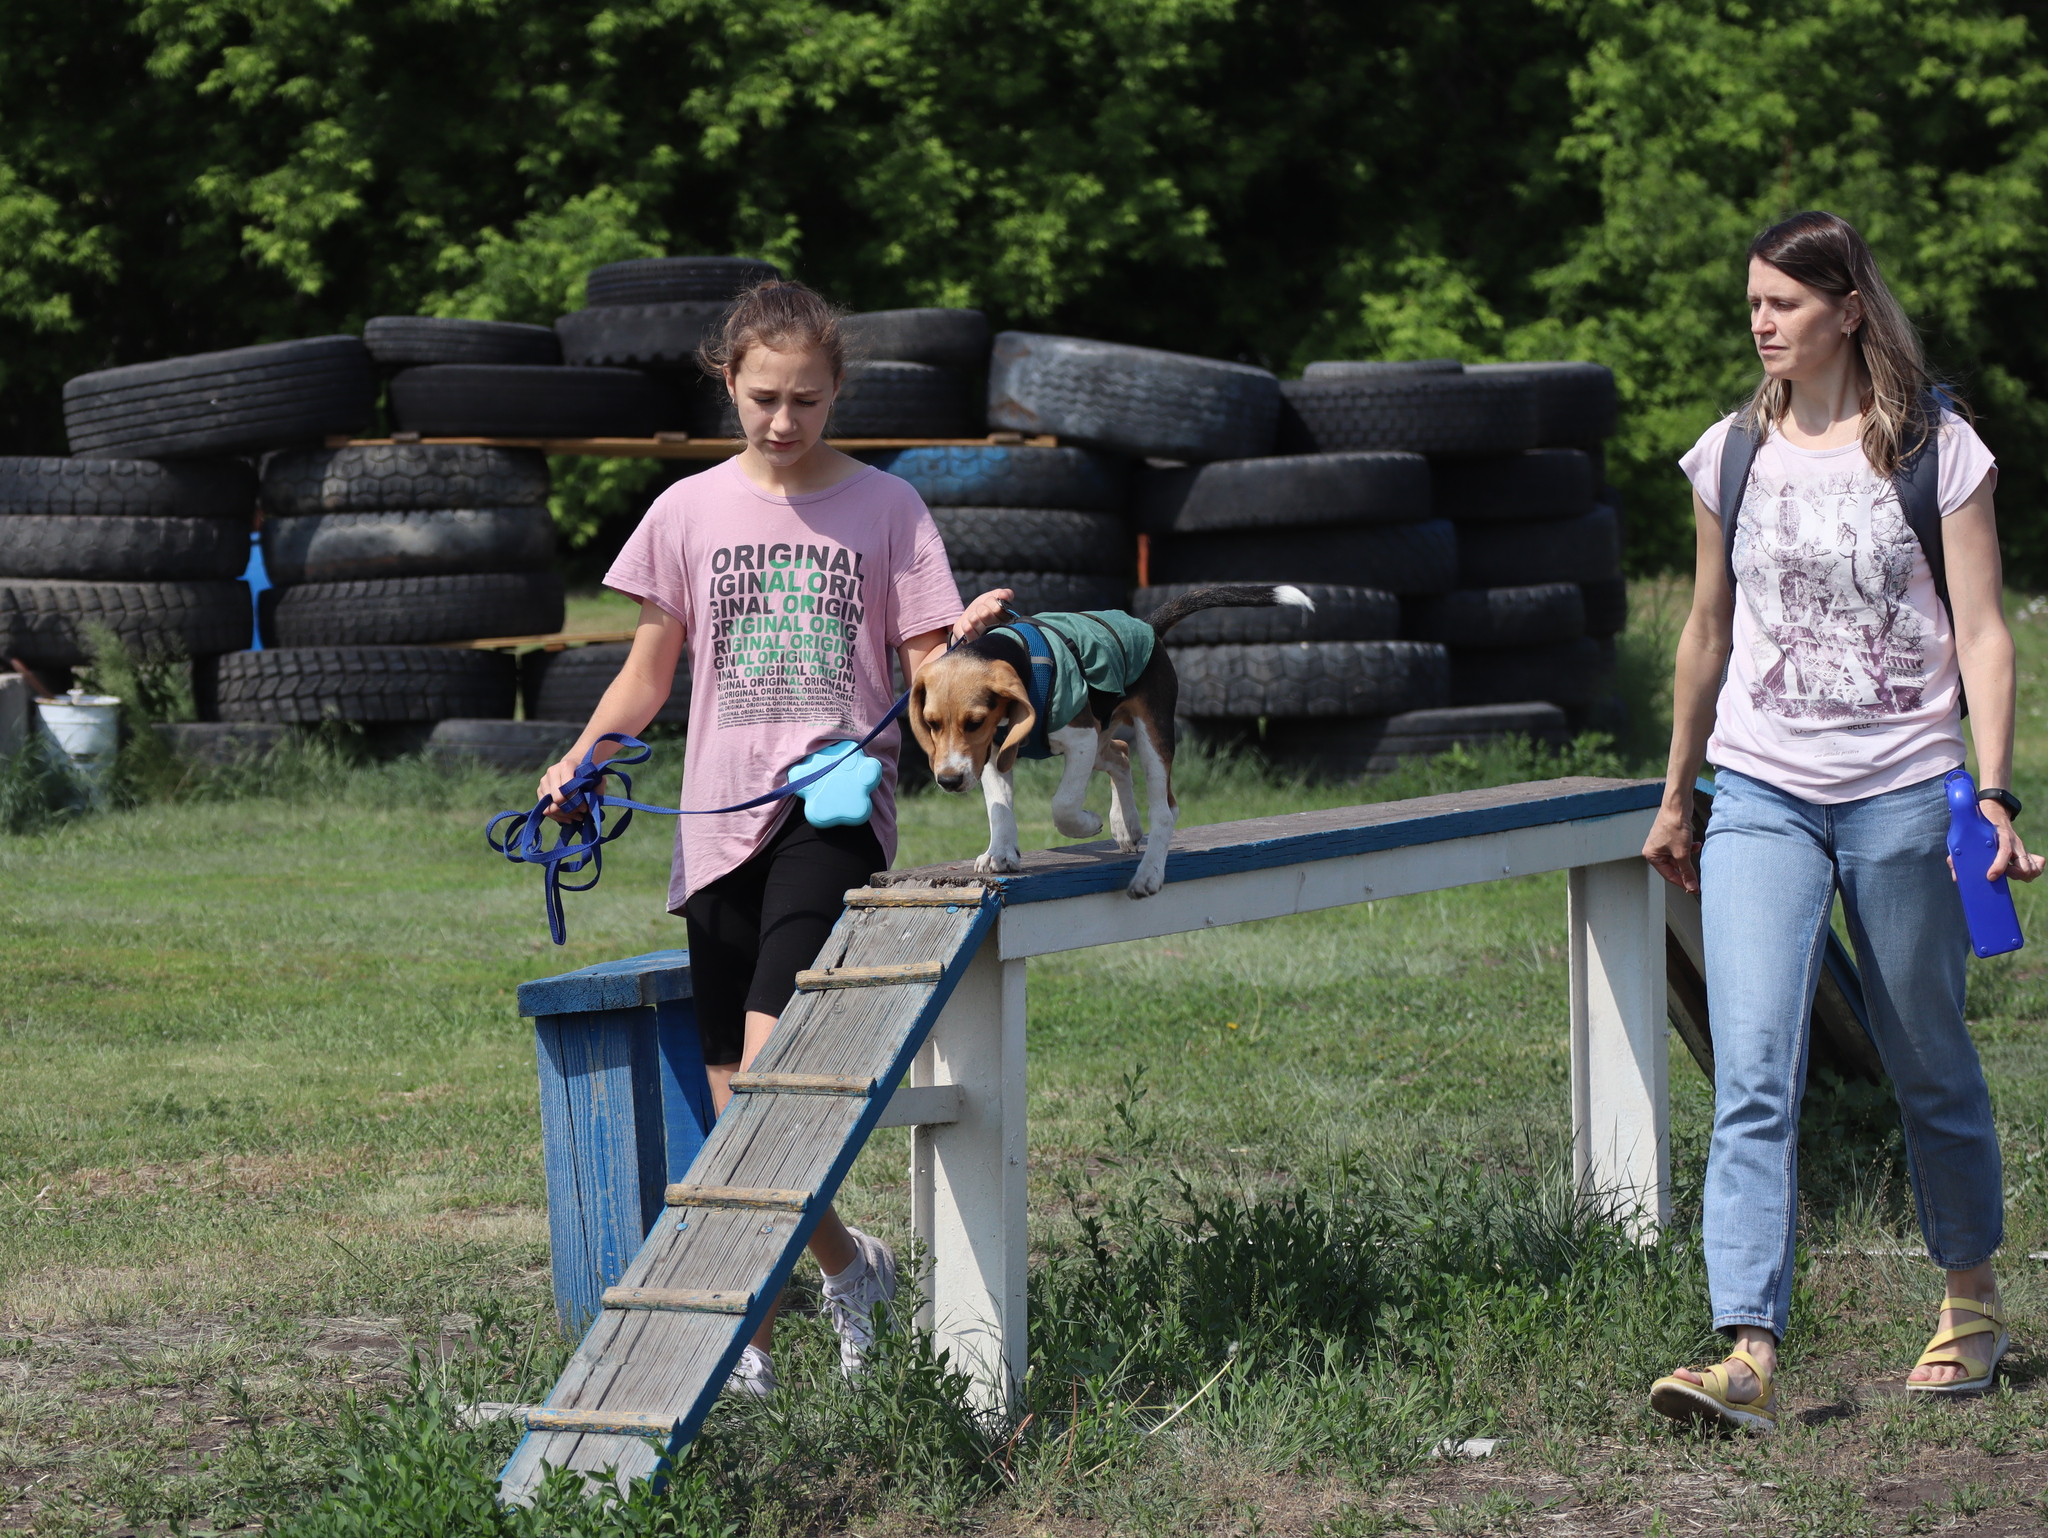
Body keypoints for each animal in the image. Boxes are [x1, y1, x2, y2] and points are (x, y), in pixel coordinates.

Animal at [908, 584, 1314, 897]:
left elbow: (1063, 805)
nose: (948, 780)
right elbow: (1000, 806)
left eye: (974, 722)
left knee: (1165, 809)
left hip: (1151, 734)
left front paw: (1087, 824)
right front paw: (1001, 852)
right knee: (1120, 755)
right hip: (1105, 735)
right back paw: (1126, 825)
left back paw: (1149, 873)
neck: (1021, 656)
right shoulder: (993, 752)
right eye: (931, 723)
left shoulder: (1080, 740)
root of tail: (1146, 625)